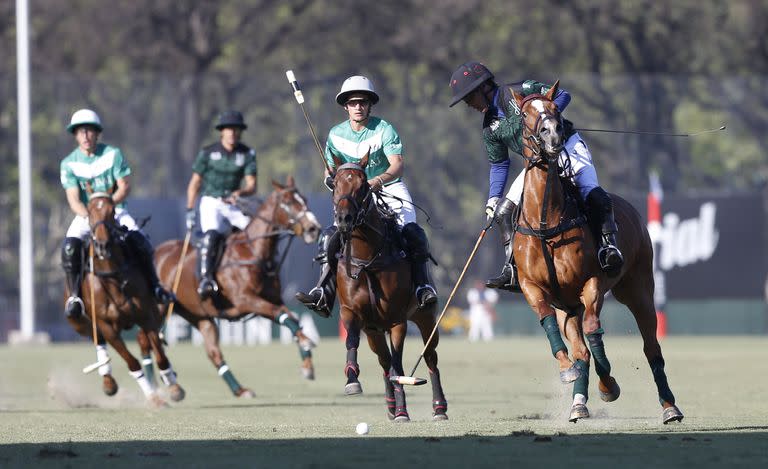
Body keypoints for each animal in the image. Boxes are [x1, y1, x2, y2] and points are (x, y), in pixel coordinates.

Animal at [66, 188, 184, 408]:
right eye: (89, 211)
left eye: (112, 211)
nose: (102, 245)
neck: (112, 276)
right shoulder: (106, 325)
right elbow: (132, 362)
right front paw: (153, 397)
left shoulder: (147, 316)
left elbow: (160, 356)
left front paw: (174, 388)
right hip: (82, 323)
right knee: (99, 343)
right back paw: (108, 382)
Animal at [153, 177, 320, 396]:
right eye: (288, 202)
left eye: (305, 200)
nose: (314, 229)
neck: (253, 252)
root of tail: (156, 251)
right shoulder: (245, 300)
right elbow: (281, 314)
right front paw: (307, 342)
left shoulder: (271, 298)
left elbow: (291, 317)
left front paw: (307, 364)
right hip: (158, 308)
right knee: (149, 339)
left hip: (199, 315)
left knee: (213, 352)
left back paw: (239, 390)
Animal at [332, 154, 450, 420]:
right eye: (334, 184)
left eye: (363, 186)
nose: (343, 219)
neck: (368, 260)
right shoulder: (351, 313)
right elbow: (351, 341)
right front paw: (352, 380)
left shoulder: (397, 320)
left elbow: (399, 364)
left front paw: (403, 411)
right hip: (374, 330)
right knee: (384, 362)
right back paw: (389, 404)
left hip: (426, 318)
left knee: (430, 357)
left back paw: (439, 407)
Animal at [510, 81, 684, 424]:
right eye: (524, 114)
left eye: (555, 109)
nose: (553, 135)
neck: (546, 221)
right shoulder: (533, 288)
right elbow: (554, 328)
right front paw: (567, 372)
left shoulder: (591, 283)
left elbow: (594, 333)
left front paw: (609, 386)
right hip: (569, 306)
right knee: (581, 348)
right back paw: (578, 401)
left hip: (638, 289)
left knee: (651, 347)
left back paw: (670, 406)